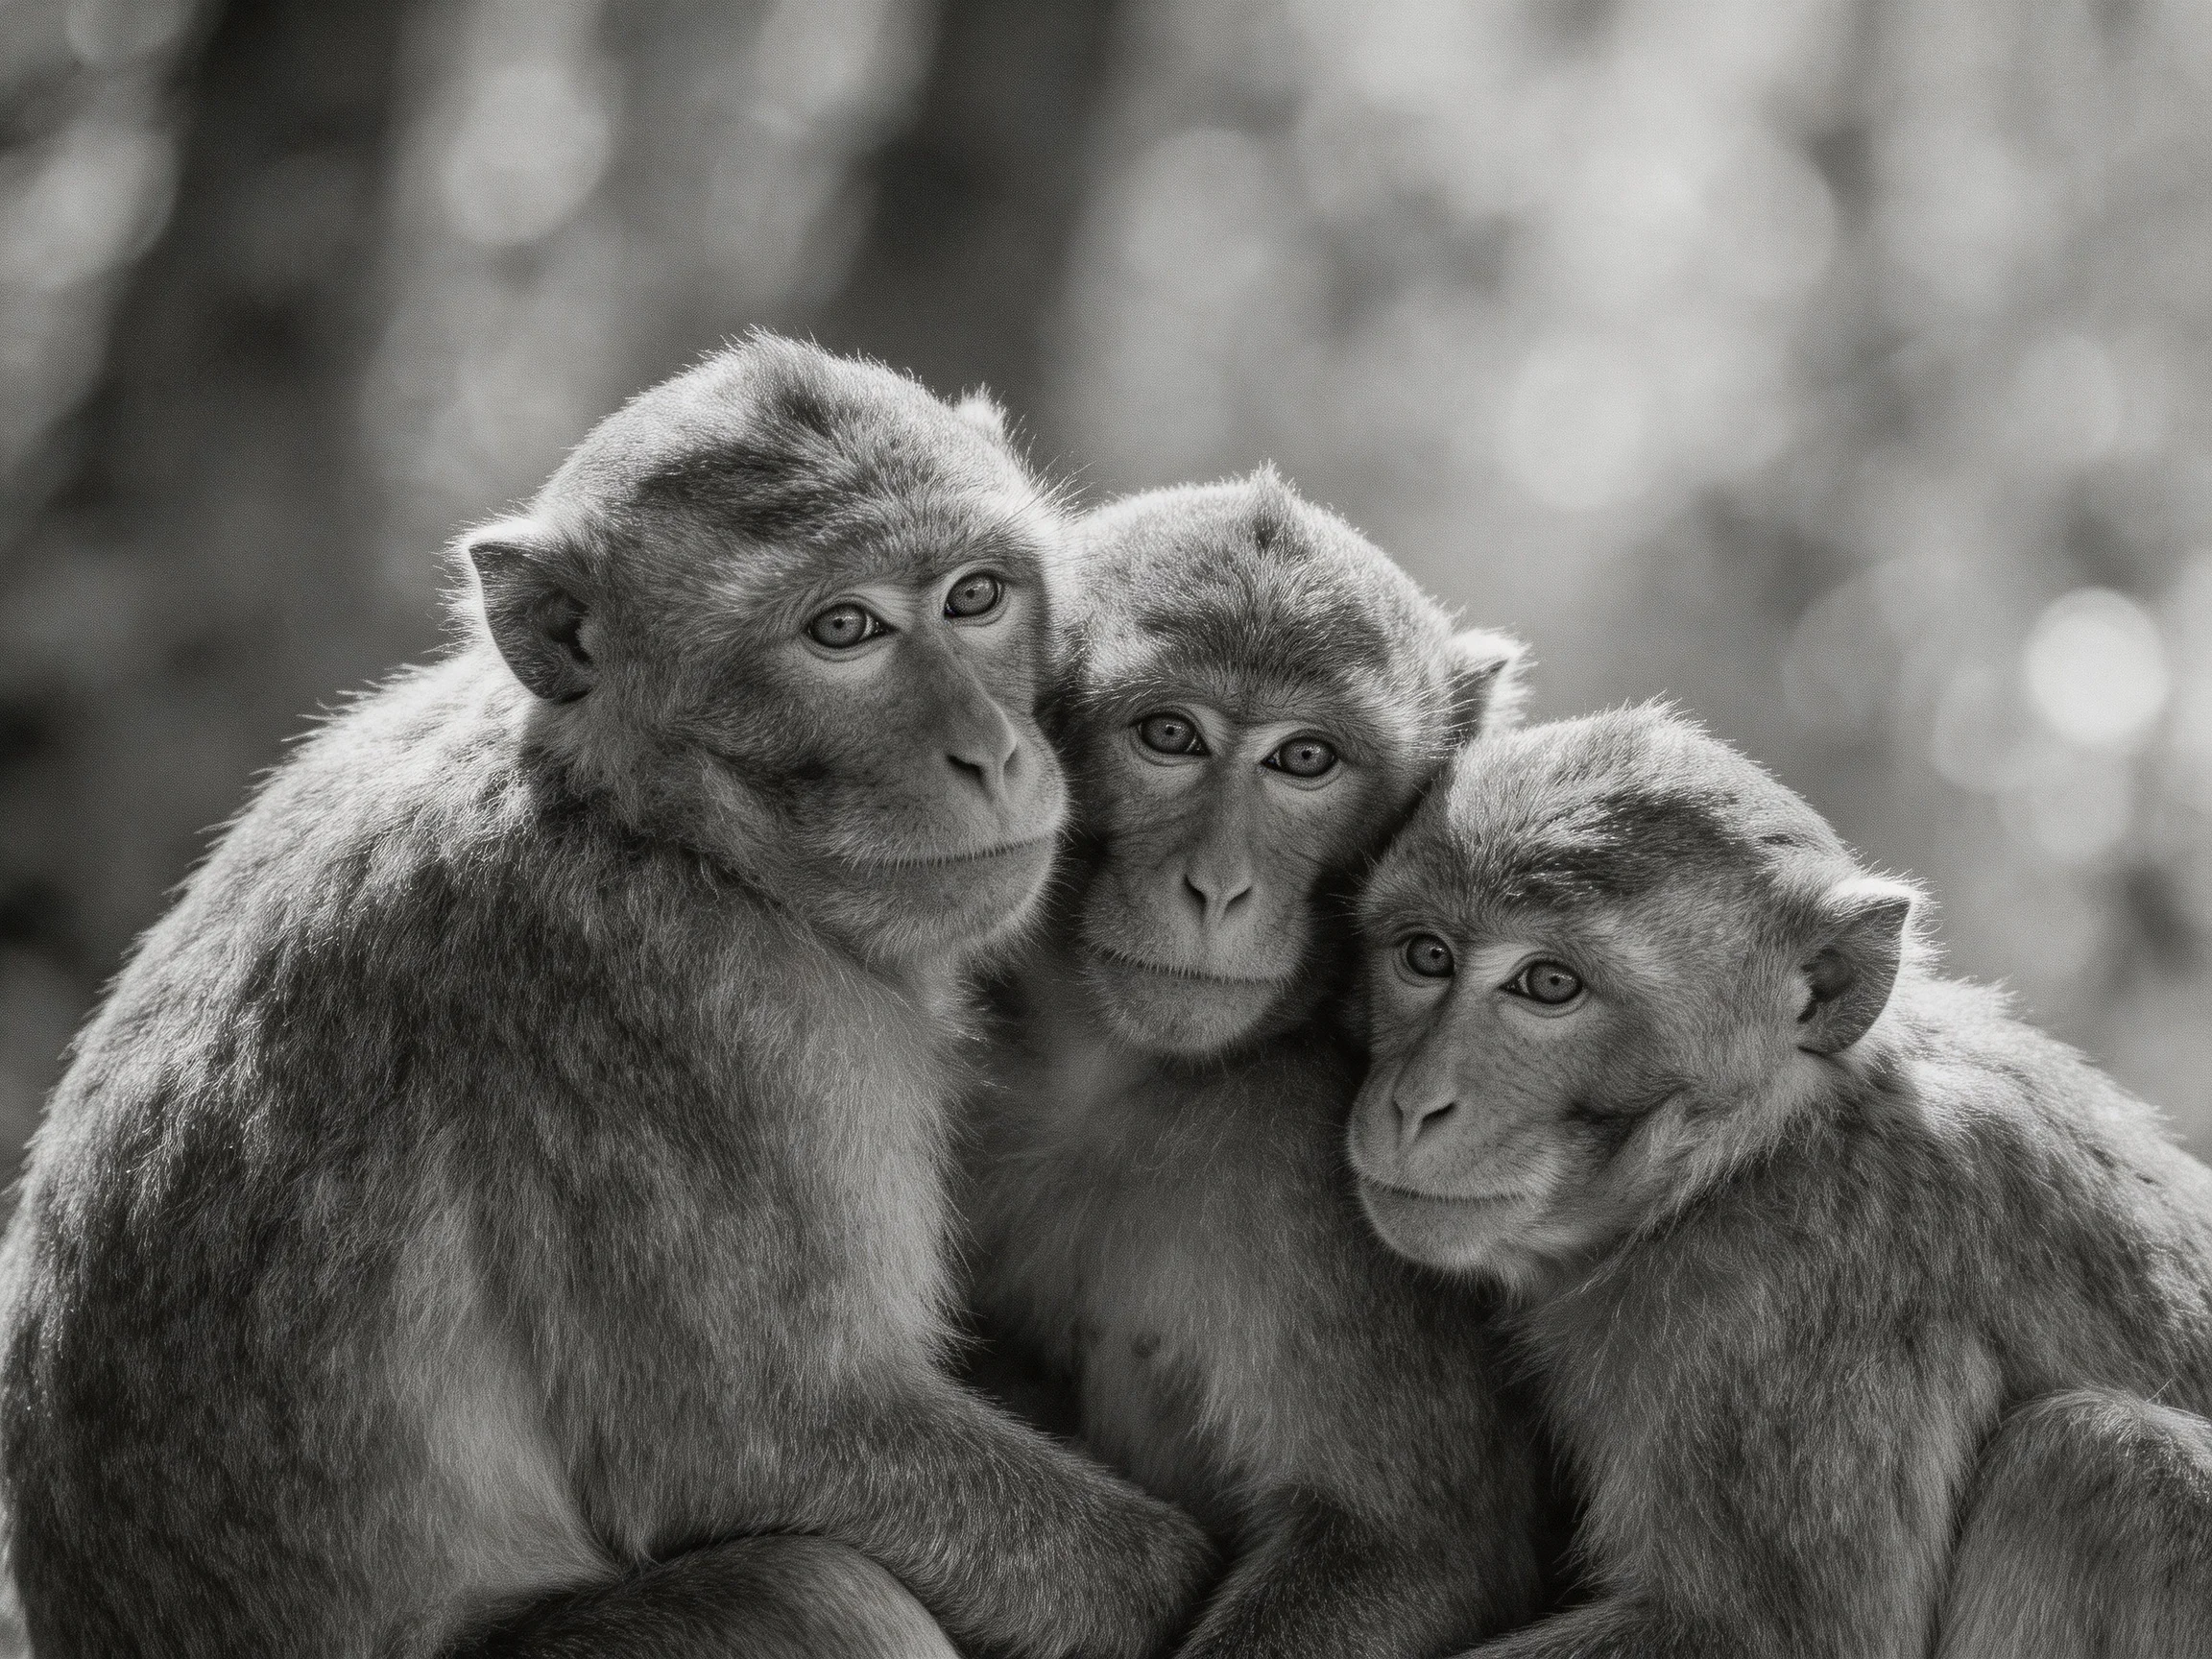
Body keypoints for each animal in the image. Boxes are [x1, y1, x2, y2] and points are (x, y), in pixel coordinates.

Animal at [0, 335, 1215, 1659]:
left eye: (976, 597)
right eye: (844, 629)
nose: (991, 751)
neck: (652, 824)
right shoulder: (694, 1013)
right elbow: (763, 1442)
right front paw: (1177, 1582)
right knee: (810, 1594)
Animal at [960, 470, 1558, 1659]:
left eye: (1304, 760)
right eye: (1169, 735)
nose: (1218, 887)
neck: (1114, 1072)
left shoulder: (1319, 1166)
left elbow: (1402, 1549)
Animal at [1342, 704, 2212, 1659]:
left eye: (1548, 983)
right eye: (1426, 956)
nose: (1414, 1102)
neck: (1745, 1157)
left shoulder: (1787, 1298)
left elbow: (1757, 1631)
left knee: (2099, 1465)